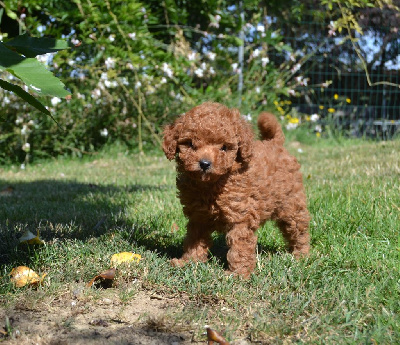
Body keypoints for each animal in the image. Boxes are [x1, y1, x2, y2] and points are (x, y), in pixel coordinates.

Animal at [162, 101, 310, 276]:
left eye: (224, 148)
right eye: (190, 144)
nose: (204, 163)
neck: (211, 185)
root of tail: (275, 143)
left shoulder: (240, 217)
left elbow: (240, 246)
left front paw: (238, 273)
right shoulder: (198, 217)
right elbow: (194, 239)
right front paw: (188, 262)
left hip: (291, 204)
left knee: (298, 229)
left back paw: (301, 255)